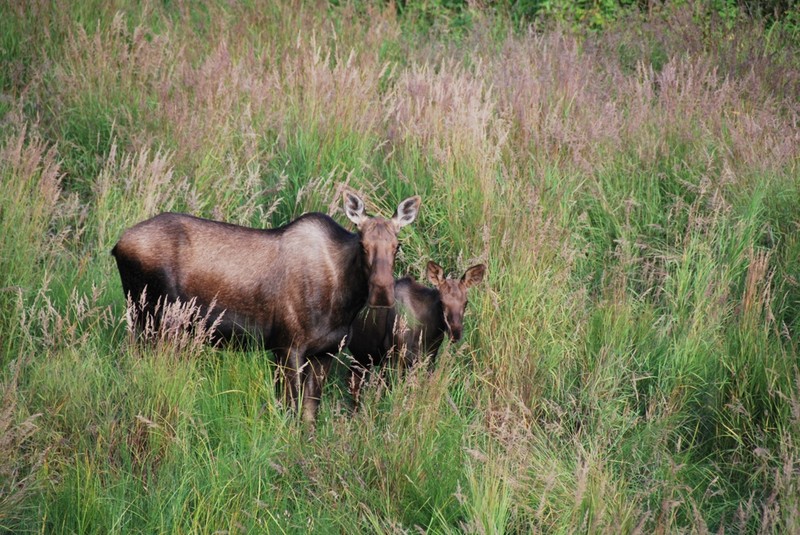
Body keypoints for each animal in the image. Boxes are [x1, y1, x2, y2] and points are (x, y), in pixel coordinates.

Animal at [111, 191, 421, 422]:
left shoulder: (325, 352)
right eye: (362, 244)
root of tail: (117, 246)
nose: (382, 293)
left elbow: (309, 415)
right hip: (155, 320)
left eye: (397, 245)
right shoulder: (287, 346)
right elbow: (291, 410)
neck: (343, 302)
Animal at [346, 260, 486, 408]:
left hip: (362, 356)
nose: (455, 332)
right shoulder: (395, 355)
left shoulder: (429, 356)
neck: (427, 331)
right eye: (441, 302)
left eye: (465, 302)